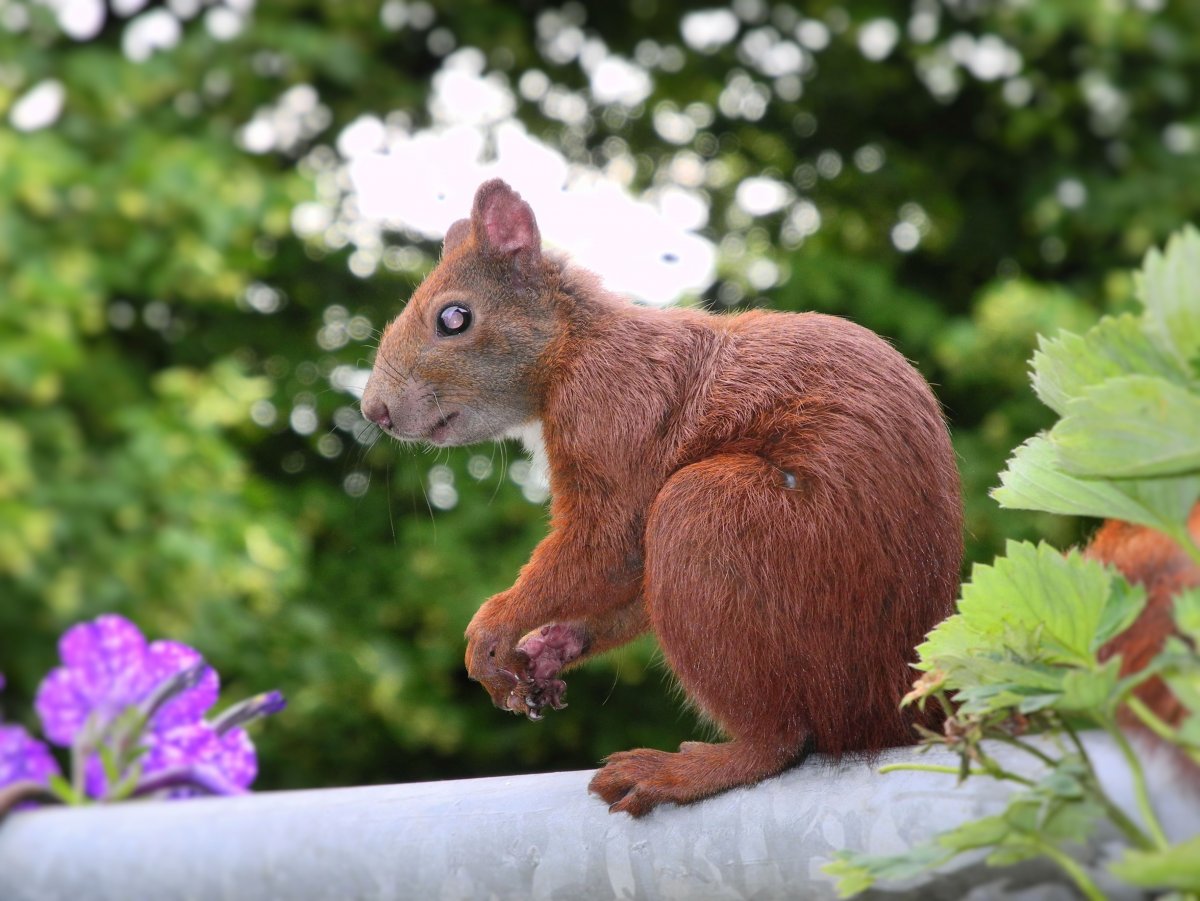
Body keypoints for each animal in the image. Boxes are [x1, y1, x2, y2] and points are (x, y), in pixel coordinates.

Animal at [357, 177, 964, 815]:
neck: (575, 348)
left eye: (454, 317)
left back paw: (682, 771)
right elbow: (625, 581)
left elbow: (605, 548)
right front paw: (547, 649)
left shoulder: (611, 416)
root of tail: (898, 704)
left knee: (780, 741)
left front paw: (492, 631)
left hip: (714, 516)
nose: (375, 411)